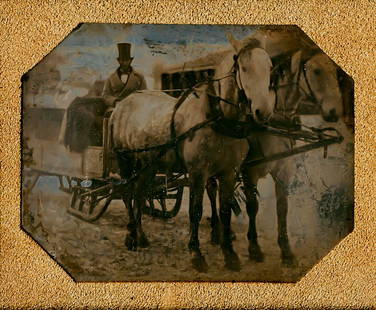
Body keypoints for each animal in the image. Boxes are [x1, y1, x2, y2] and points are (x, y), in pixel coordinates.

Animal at [108, 32, 274, 272]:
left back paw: (141, 236)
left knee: (139, 194)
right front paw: (196, 253)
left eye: (270, 67)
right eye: (243, 67)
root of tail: (123, 103)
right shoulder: (198, 173)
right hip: (125, 160)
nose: (263, 111)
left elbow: (225, 211)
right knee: (128, 194)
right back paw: (131, 236)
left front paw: (230, 254)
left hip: (147, 165)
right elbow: (195, 211)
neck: (218, 118)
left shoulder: (229, 173)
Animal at [207, 46, 346, 266]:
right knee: (212, 192)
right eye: (316, 71)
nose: (334, 112)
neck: (274, 120)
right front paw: (254, 248)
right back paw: (215, 230)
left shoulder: (284, 170)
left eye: (336, 72)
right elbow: (253, 206)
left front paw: (286, 250)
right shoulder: (250, 172)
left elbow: (282, 207)